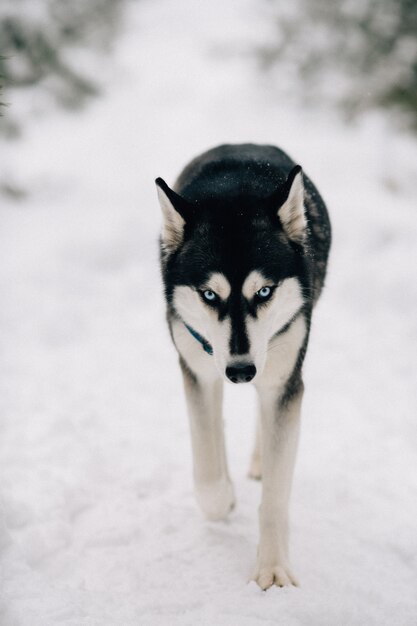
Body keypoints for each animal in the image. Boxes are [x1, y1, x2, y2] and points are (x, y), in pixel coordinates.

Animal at [154, 144, 330, 588]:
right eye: (209, 294)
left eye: (264, 291)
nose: (240, 372)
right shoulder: (198, 369)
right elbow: (207, 470)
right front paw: (223, 499)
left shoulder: (281, 375)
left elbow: (275, 499)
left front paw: (273, 568)